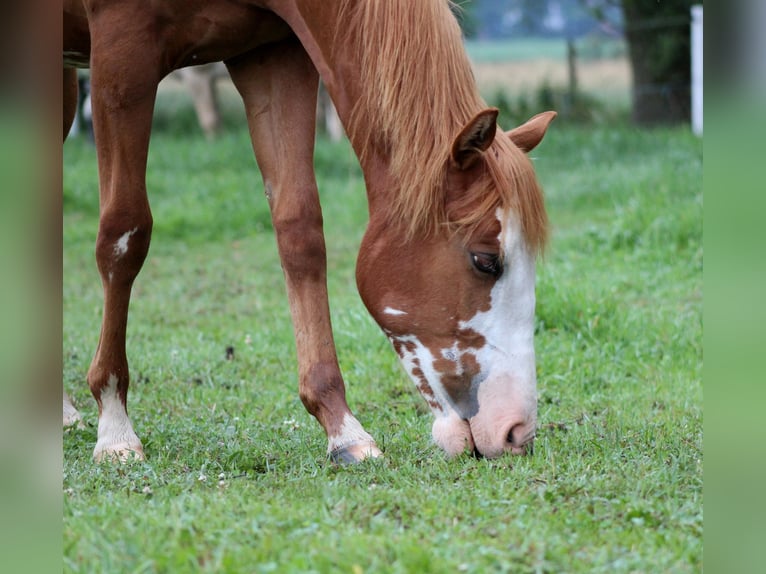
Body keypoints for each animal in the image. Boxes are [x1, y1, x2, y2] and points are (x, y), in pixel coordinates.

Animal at [63, 0, 556, 464]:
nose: (516, 433)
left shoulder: (273, 56)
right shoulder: (121, 59)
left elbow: (299, 231)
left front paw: (343, 429)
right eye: (485, 261)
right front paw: (115, 427)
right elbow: (125, 234)